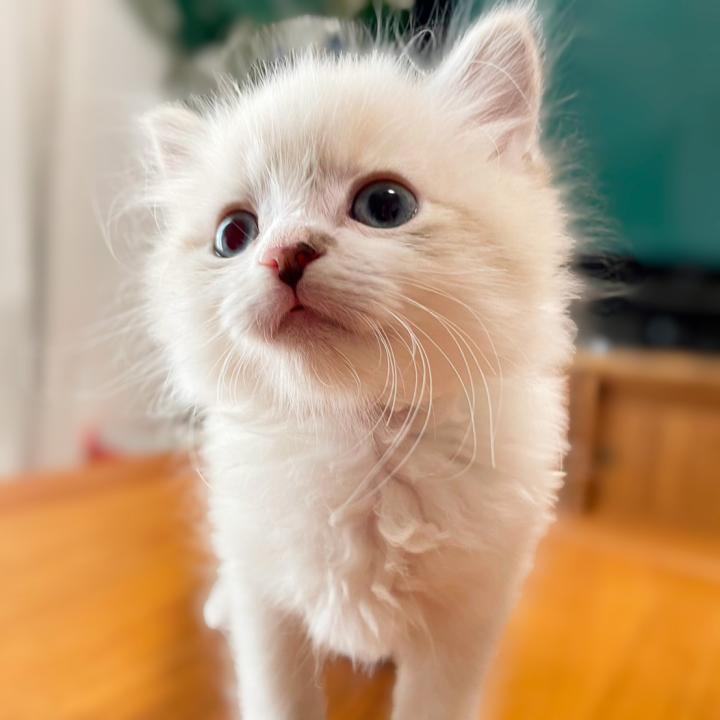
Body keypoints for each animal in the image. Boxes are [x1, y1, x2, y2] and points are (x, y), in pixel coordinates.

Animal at [140, 3, 575, 718]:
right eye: (234, 234)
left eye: (385, 205)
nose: (284, 252)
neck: (362, 438)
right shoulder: (270, 610)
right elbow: (279, 697)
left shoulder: (465, 620)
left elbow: (433, 705)